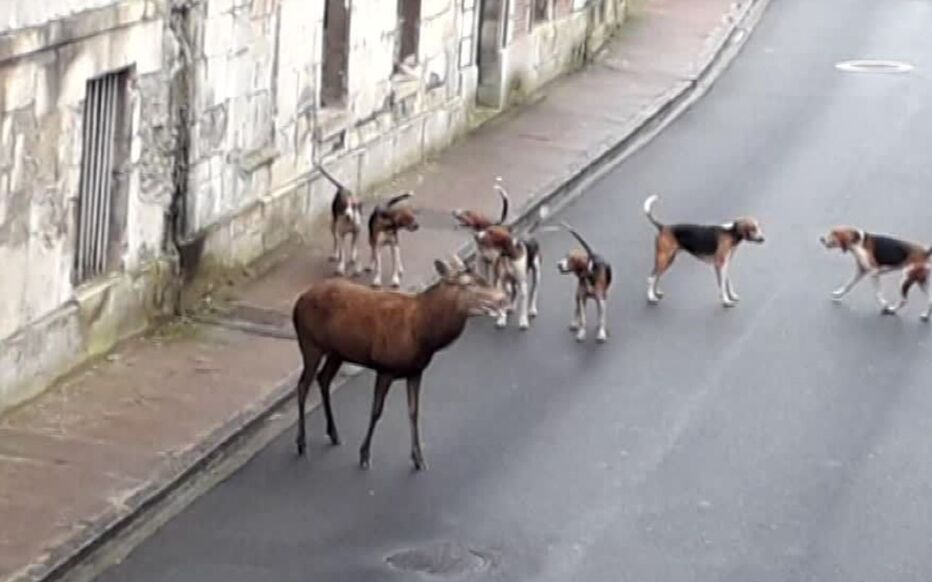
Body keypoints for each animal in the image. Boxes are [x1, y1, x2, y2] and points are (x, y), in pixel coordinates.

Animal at [292, 256, 508, 471]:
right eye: (469, 283)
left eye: (482, 278)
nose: (502, 298)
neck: (423, 334)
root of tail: (298, 303)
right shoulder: (385, 368)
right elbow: (376, 411)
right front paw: (364, 455)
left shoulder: (415, 371)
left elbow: (414, 412)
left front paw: (418, 458)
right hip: (309, 343)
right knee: (303, 385)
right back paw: (301, 442)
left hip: (337, 352)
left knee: (323, 379)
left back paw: (333, 434)